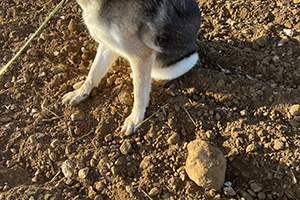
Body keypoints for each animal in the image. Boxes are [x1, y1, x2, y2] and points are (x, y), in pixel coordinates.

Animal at [62, 0, 200, 135]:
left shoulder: (141, 55)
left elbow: (139, 93)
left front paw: (135, 119)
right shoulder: (108, 44)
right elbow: (93, 73)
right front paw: (79, 94)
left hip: (188, 59)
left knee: (156, 78)